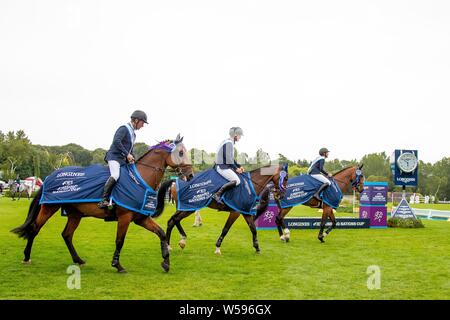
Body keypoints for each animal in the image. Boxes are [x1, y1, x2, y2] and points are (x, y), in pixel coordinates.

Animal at [11, 136, 193, 274]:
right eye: (180, 153)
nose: (190, 175)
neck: (140, 179)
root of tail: (51, 175)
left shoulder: (140, 218)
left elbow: (161, 233)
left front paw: (166, 262)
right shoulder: (125, 217)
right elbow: (119, 241)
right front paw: (117, 265)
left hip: (75, 214)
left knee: (67, 235)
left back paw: (78, 260)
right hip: (49, 207)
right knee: (35, 229)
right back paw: (26, 257)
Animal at [155, 162, 288, 255]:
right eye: (285, 178)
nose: (281, 195)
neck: (250, 185)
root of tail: (176, 181)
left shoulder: (245, 212)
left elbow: (253, 229)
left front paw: (257, 248)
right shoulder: (235, 212)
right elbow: (226, 229)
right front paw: (218, 248)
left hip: (186, 208)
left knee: (173, 220)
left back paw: (176, 243)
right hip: (189, 207)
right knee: (173, 220)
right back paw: (173, 244)